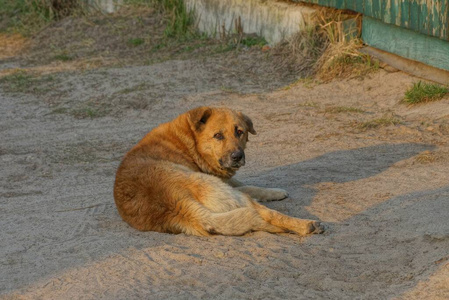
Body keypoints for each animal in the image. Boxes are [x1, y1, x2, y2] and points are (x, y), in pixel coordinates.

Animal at [112, 106, 322, 236]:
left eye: (240, 132)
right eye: (218, 136)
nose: (237, 156)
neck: (190, 141)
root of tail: (178, 205)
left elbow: (248, 184)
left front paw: (275, 191)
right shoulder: (224, 182)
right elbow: (249, 187)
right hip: (228, 193)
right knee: (268, 215)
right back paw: (306, 225)